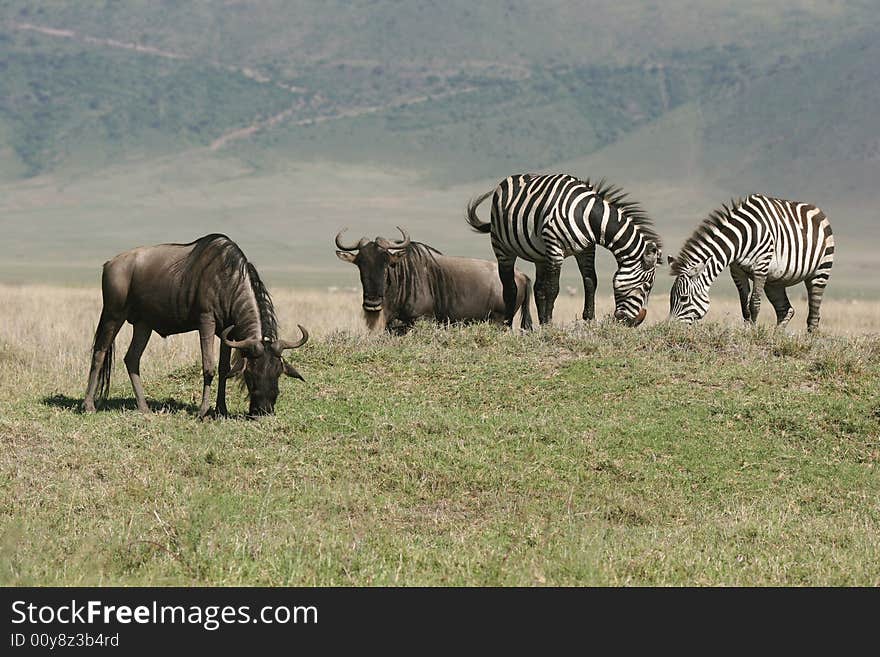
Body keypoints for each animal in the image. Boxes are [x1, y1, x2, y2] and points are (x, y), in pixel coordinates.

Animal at [468, 173, 660, 326]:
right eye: (647, 286)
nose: (637, 322)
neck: (587, 215)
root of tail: (509, 179)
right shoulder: (555, 248)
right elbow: (553, 288)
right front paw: (550, 323)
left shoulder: (586, 250)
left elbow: (590, 281)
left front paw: (588, 319)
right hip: (502, 247)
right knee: (510, 288)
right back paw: (507, 326)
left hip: (540, 256)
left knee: (538, 289)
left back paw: (541, 323)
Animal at [672, 193, 836, 328]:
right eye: (671, 297)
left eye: (684, 298)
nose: (672, 328)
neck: (741, 238)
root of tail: (817, 210)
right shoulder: (737, 271)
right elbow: (744, 306)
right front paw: (747, 330)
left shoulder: (760, 267)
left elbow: (754, 303)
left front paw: (753, 332)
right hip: (774, 281)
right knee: (785, 309)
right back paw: (776, 336)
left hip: (820, 272)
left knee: (814, 315)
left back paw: (811, 339)